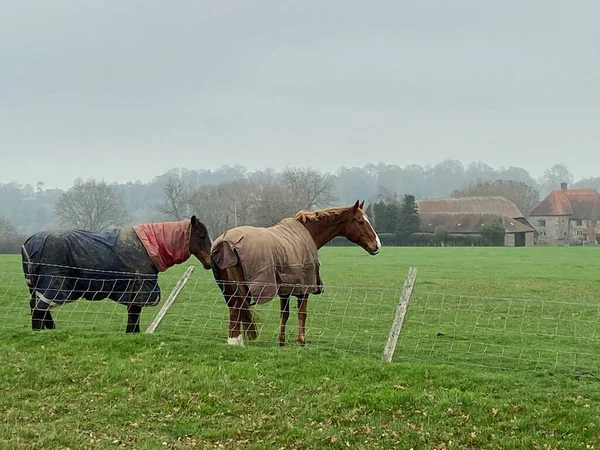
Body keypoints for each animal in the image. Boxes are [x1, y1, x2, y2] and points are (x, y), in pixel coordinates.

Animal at [21, 214, 213, 334]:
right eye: (201, 235)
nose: (210, 262)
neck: (150, 246)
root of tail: (29, 242)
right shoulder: (139, 288)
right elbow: (134, 317)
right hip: (54, 284)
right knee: (39, 310)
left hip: (36, 287)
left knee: (38, 308)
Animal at [210, 201, 380, 348]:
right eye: (360, 221)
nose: (377, 245)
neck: (307, 233)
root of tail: (225, 242)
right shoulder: (304, 288)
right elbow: (302, 314)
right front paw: (301, 341)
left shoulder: (285, 289)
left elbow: (284, 314)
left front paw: (281, 341)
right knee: (236, 308)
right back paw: (235, 342)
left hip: (227, 288)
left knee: (234, 308)